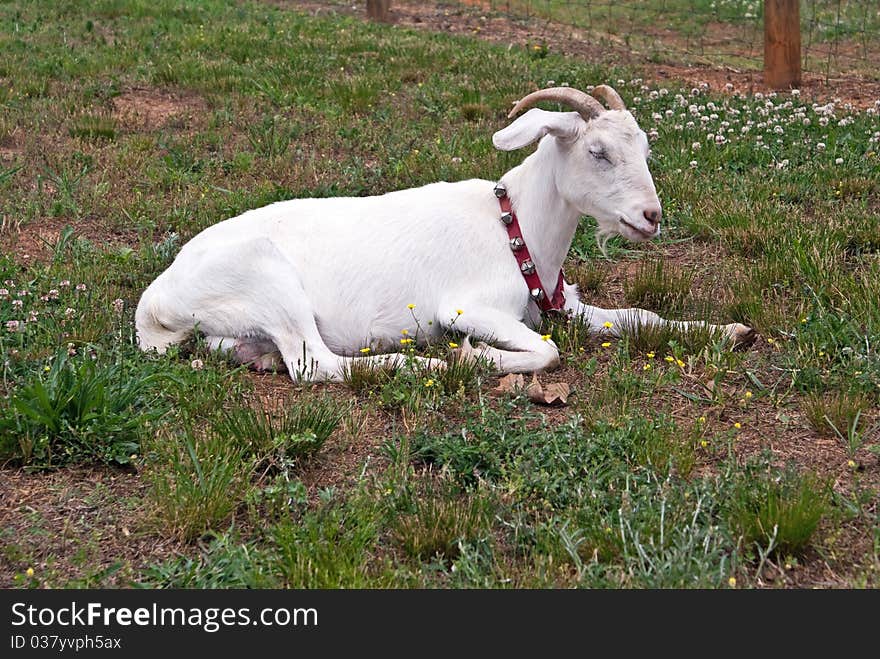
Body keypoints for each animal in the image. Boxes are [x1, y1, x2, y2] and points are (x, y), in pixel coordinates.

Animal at [134, 86, 752, 382]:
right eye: (598, 152)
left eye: (644, 148)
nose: (651, 216)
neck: (515, 229)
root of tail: (155, 302)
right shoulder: (467, 308)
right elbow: (547, 352)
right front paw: (476, 357)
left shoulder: (562, 303)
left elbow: (639, 317)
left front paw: (727, 330)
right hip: (267, 280)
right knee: (317, 365)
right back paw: (432, 364)